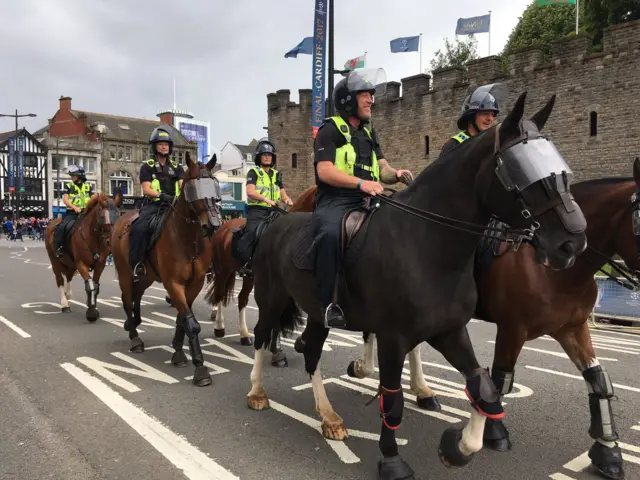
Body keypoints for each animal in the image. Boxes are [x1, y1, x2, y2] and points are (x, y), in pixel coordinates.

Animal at [44, 191, 124, 322]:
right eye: (103, 216)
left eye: (118, 214)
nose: (111, 242)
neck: (93, 237)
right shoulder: (81, 264)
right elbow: (90, 285)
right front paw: (91, 313)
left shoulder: (100, 264)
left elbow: (95, 285)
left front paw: (92, 305)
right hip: (54, 260)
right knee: (60, 280)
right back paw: (65, 304)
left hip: (70, 263)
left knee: (69, 276)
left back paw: (68, 294)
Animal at [112, 154, 225, 386]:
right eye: (193, 188)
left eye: (214, 186)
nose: (213, 224)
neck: (187, 239)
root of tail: (122, 219)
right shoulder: (173, 283)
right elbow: (191, 323)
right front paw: (200, 369)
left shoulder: (195, 283)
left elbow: (183, 317)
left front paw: (178, 352)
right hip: (126, 273)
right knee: (127, 299)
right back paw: (135, 338)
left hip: (147, 276)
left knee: (137, 294)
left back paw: (134, 322)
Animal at [205, 187, 320, 368]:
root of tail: (223, 227)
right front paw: (277, 351)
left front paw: (280, 349)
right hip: (223, 270)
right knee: (219, 294)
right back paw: (219, 327)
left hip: (249, 277)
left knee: (242, 299)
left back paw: (244, 335)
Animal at [225, 92, 592, 478]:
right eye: (520, 170)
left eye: (560, 168)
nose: (572, 243)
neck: (426, 242)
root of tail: (276, 223)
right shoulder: (393, 337)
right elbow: (393, 399)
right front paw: (392, 458)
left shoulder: (449, 331)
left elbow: (484, 388)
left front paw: (458, 447)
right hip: (271, 297)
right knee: (262, 336)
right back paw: (257, 392)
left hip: (317, 312)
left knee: (311, 351)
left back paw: (328, 416)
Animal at [342, 163, 640, 478]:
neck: (553, 271)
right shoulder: (513, 329)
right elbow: (500, 382)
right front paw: (494, 433)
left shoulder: (572, 328)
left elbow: (598, 380)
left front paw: (608, 451)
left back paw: (419, 390)